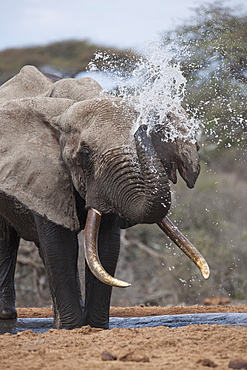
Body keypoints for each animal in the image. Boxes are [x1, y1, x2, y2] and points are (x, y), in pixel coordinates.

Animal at [0, 66, 209, 330]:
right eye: (84, 154)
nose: (142, 126)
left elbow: (105, 245)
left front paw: (95, 327)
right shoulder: (44, 174)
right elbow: (60, 246)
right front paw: (72, 329)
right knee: (8, 239)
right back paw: (8, 315)